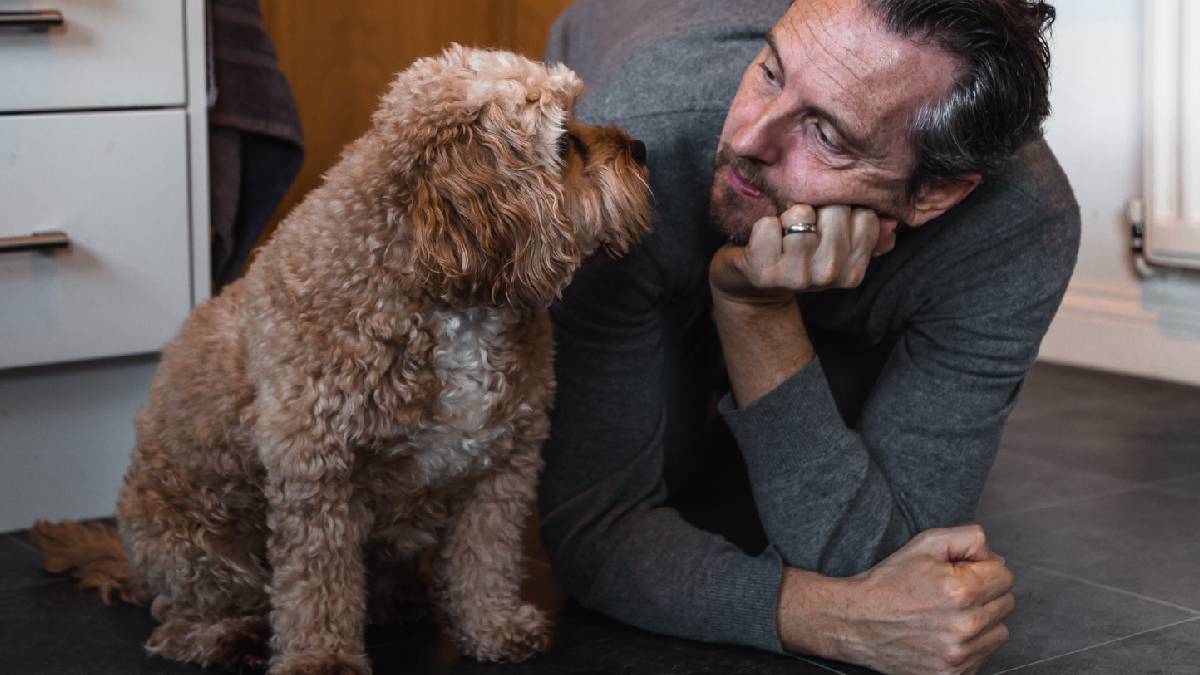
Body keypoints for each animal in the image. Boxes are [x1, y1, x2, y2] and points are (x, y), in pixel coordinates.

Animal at [30, 44, 648, 667]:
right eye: (566, 140)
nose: (642, 149)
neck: (451, 296)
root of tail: (136, 563)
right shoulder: (317, 471)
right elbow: (318, 584)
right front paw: (322, 658)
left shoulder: (503, 465)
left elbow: (487, 557)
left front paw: (494, 626)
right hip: (199, 547)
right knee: (182, 620)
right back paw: (225, 636)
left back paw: (400, 598)